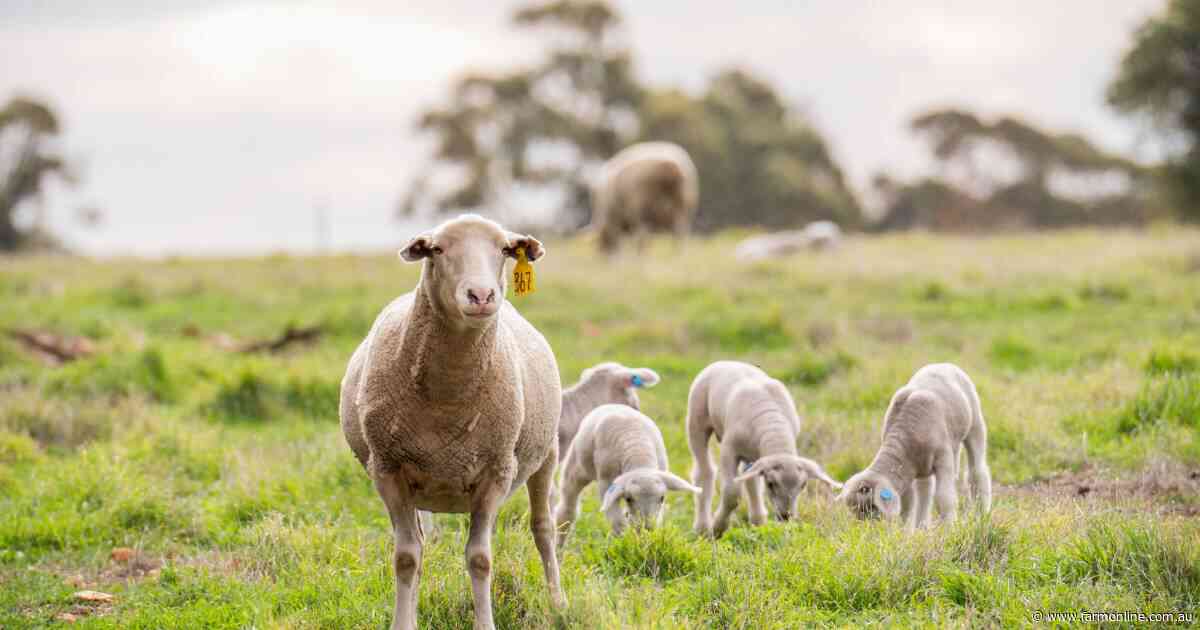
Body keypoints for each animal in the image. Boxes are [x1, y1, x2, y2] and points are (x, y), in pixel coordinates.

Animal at [339, 214, 563, 630]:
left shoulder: (496, 471)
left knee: (543, 528)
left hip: (547, 454)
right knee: (419, 544)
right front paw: (403, 623)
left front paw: (485, 624)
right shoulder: (387, 469)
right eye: (438, 249)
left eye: (505, 249)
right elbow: (406, 557)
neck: (447, 402)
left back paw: (559, 603)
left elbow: (480, 558)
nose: (481, 295)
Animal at [554, 404, 699, 540]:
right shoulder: (606, 480)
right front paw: (624, 540)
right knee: (568, 506)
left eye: (662, 498)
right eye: (629, 498)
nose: (646, 528)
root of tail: (613, 404)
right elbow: (616, 520)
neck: (638, 451)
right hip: (577, 466)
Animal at [686, 361, 842, 538]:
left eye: (803, 486)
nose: (785, 516)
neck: (772, 425)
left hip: (752, 454)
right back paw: (702, 528)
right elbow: (732, 494)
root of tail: (726, 361)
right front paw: (718, 528)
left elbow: (750, 480)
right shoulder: (729, 449)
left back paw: (757, 521)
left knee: (750, 480)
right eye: (771, 483)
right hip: (697, 419)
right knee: (704, 472)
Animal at [835, 363, 991, 528]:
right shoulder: (905, 473)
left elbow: (944, 498)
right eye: (857, 513)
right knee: (925, 491)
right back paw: (922, 527)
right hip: (923, 466)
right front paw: (906, 532)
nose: (870, 530)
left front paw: (949, 528)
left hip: (975, 423)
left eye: (872, 507)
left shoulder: (944, 458)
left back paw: (982, 515)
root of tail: (944, 364)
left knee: (977, 471)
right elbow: (907, 507)